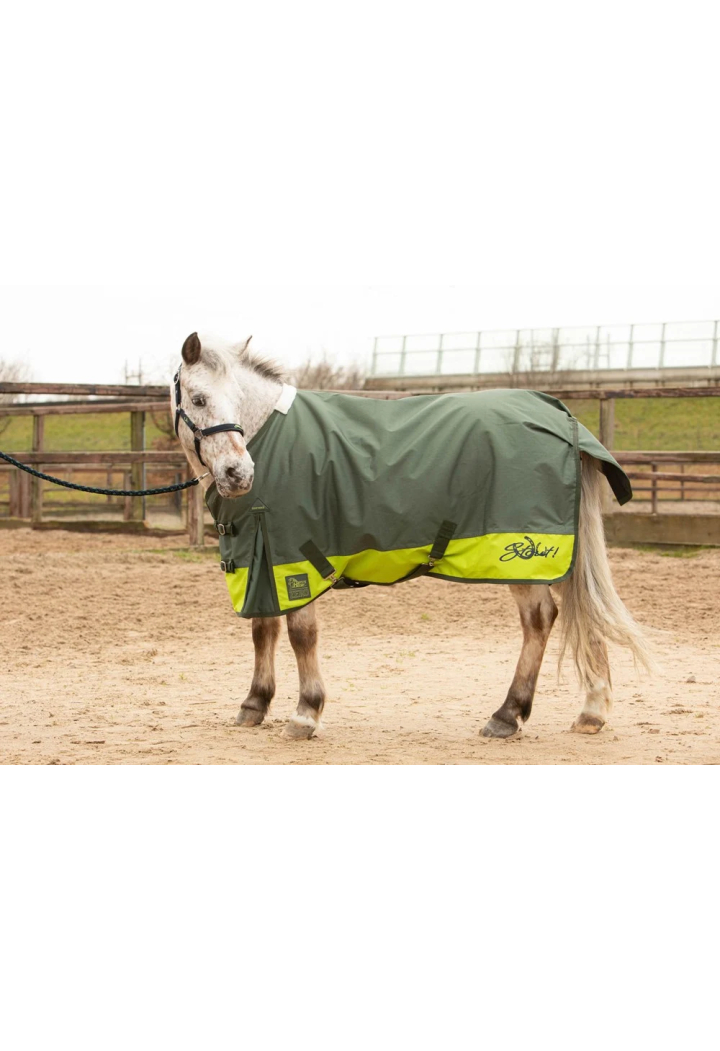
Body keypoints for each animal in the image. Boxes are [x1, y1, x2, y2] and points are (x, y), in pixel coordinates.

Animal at [171, 331, 650, 741]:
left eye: (236, 398)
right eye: (199, 398)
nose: (239, 474)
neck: (269, 436)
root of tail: (559, 414)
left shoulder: (295, 556)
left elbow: (300, 633)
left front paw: (305, 713)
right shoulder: (260, 554)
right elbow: (263, 628)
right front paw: (254, 704)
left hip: (526, 557)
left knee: (540, 619)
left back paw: (507, 715)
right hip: (560, 556)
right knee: (581, 609)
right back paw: (591, 712)